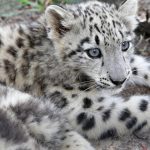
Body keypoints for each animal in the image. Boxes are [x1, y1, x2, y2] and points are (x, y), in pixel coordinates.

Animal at [0, 0, 149, 149]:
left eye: (124, 45)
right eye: (93, 52)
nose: (120, 80)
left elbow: (136, 63)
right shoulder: (83, 108)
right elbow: (141, 107)